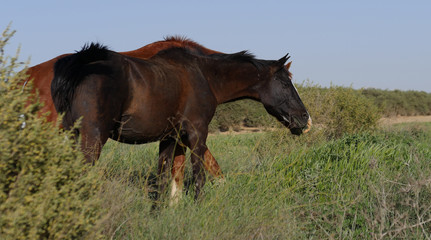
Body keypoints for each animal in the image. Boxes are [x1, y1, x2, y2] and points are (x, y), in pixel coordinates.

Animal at [52, 42, 312, 199]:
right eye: (285, 83)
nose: (305, 119)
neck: (205, 76)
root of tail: (81, 64)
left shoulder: (169, 137)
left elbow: (163, 179)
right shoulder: (197, 134)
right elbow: (199, 176)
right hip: (92, 139)